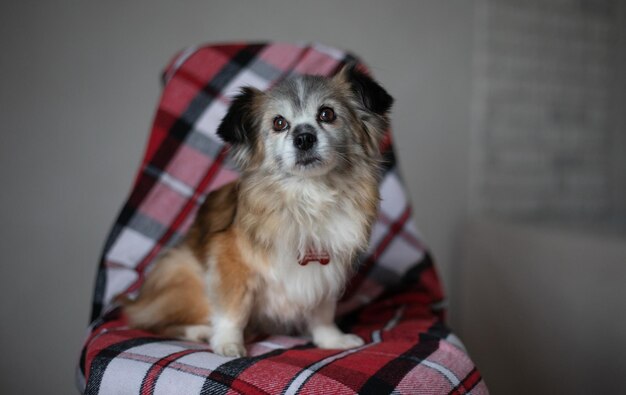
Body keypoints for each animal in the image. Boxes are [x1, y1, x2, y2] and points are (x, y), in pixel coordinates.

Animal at [121, 65, 392, 358]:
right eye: (279, 123)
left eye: (327, 114)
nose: (304, 138)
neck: (307, 196)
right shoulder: (229, 262)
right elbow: (233, 309)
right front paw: (228, 343)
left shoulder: (326, 269)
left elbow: (322, 310)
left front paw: (331, 339)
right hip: (184, 273)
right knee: (154, 322)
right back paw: (201, 332)